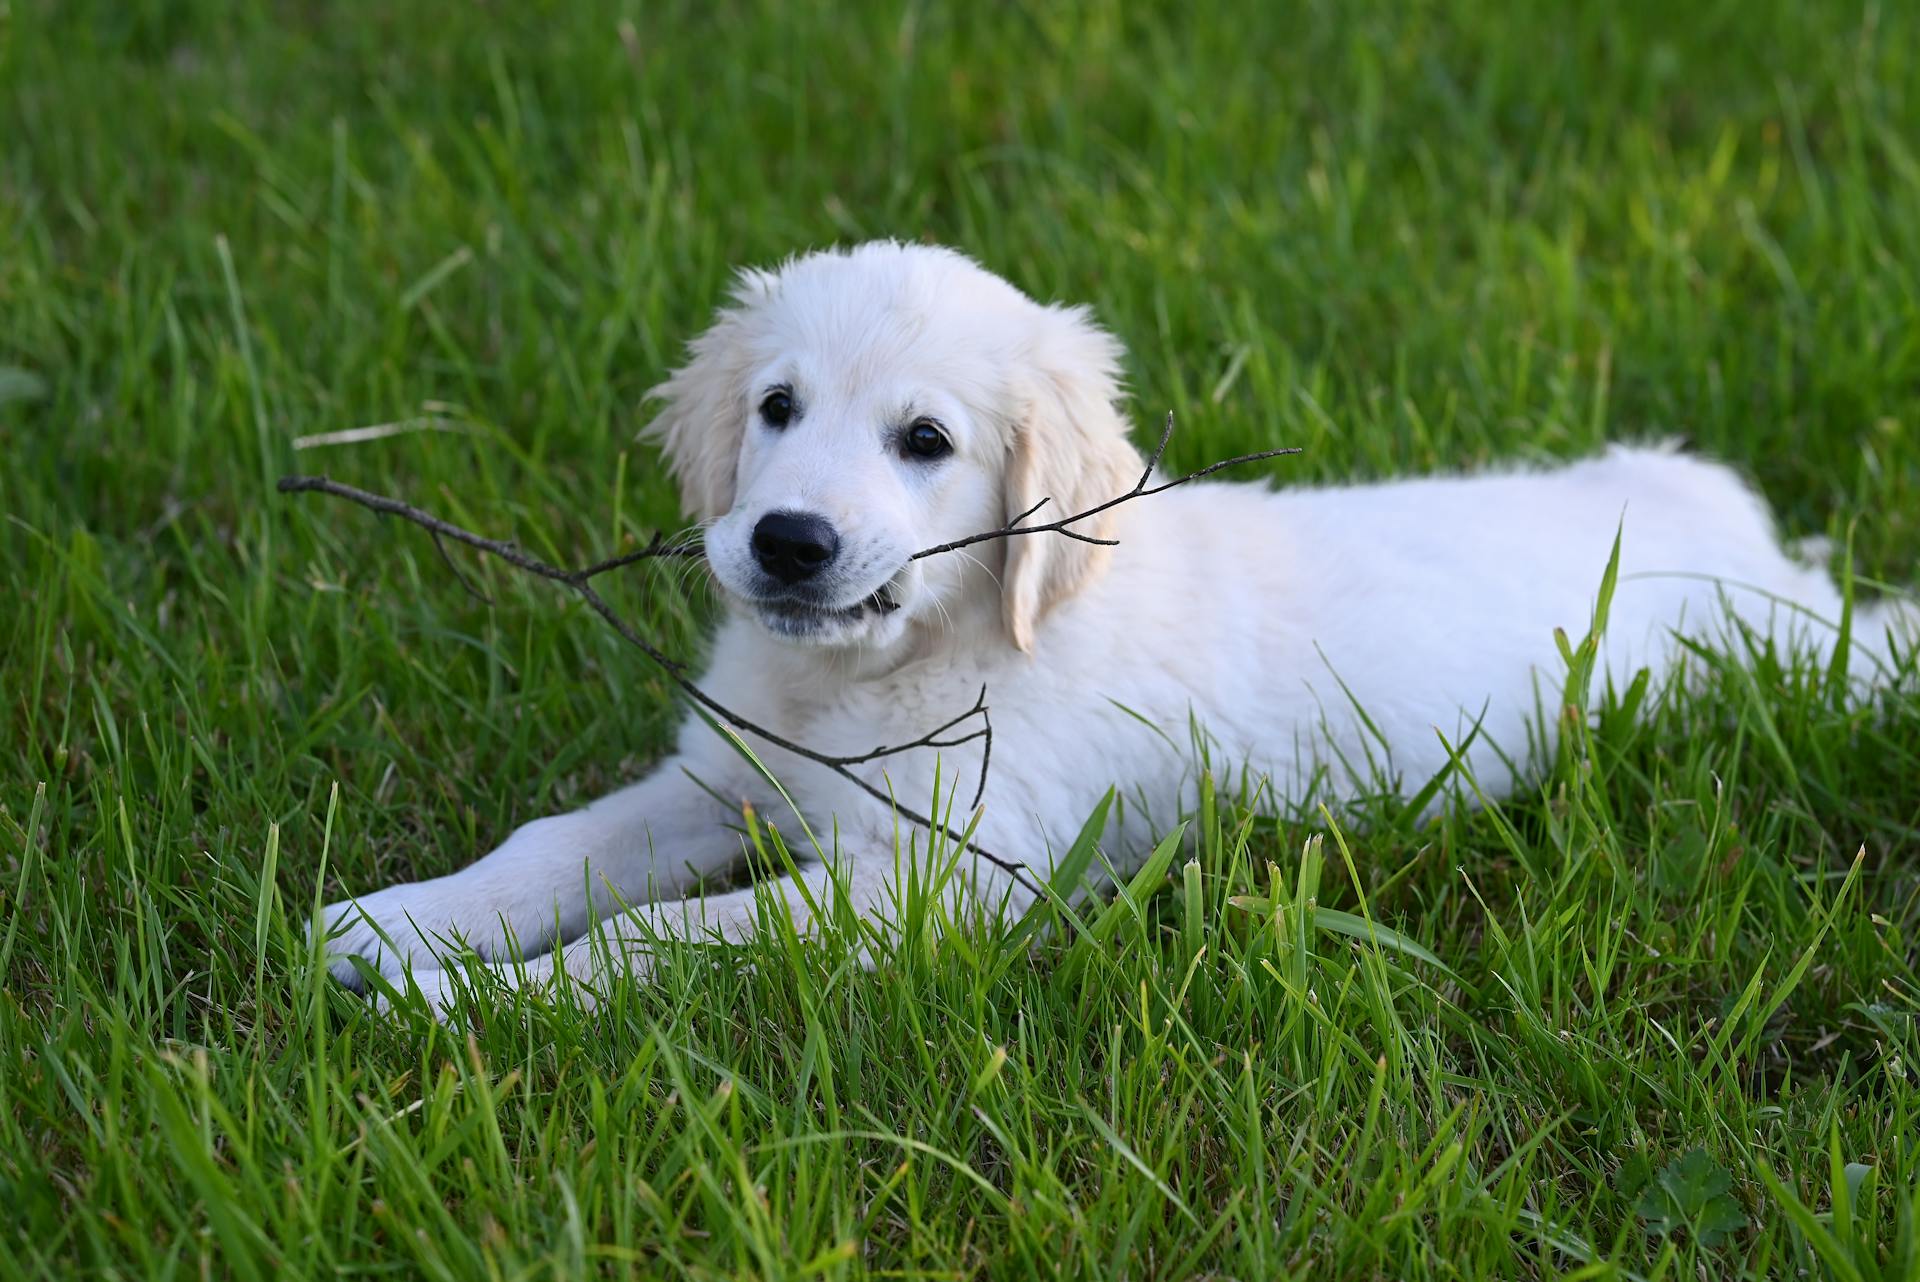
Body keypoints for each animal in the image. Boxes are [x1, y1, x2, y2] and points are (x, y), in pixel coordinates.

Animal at [322, 239, 1912, 1013]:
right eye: (775, 407)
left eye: (925, 441)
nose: (787, 541)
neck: (908, 659)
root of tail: (1728, 525)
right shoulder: (726, 774)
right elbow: (563, 846)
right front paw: (398, 924)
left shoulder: (939, 880)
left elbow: (674, 938)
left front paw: (459, 1001)